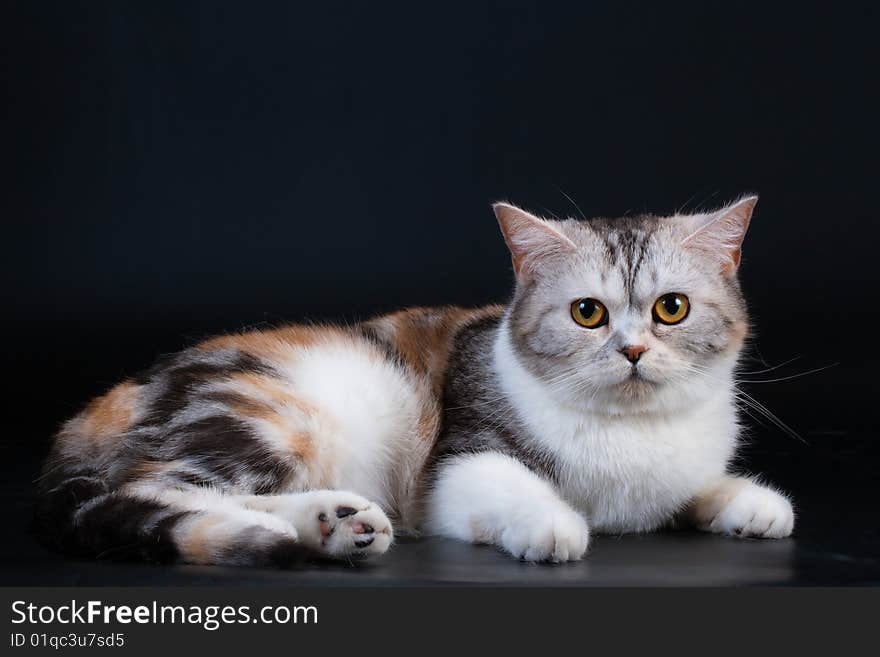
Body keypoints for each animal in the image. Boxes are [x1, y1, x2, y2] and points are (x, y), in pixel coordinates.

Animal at [34, 195, 796, 564]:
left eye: (672, 308)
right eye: (588, 313)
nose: (634, 349)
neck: (632, 436)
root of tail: (102, 405)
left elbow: (700, 486)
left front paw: (754, 504)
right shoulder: (455, 465)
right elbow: (505, 483)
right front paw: (551, 524)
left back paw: (332, 524)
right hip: (268, 414)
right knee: (142, 491)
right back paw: (292, 528)